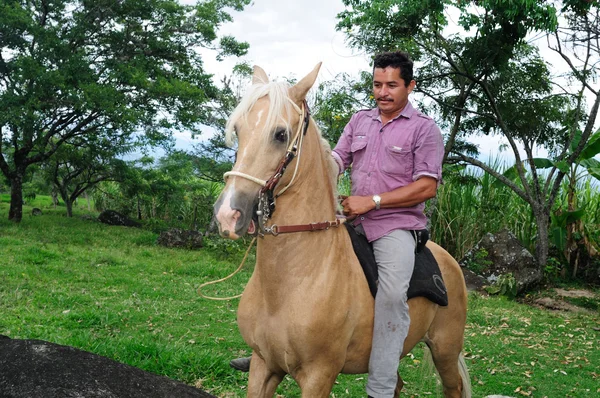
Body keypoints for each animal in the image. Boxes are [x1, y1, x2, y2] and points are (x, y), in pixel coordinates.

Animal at [213, 63, 472, 396]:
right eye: (238, 130)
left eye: (280, 134)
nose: (227, 215)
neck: (294, 283)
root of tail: (449, 260)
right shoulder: (263, 365)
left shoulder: (319, 375)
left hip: (445, 349)